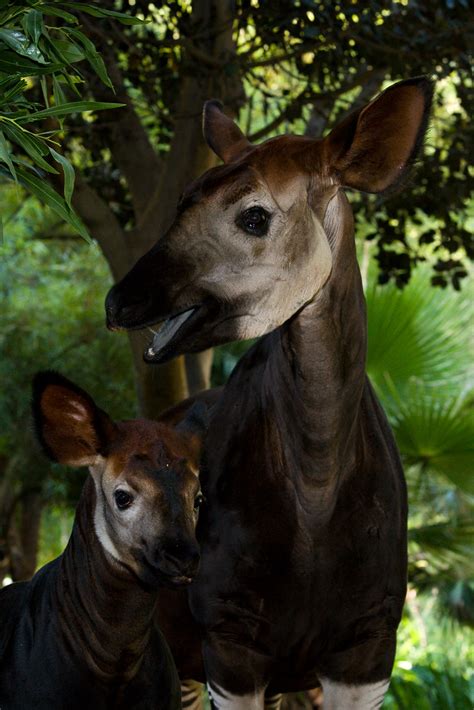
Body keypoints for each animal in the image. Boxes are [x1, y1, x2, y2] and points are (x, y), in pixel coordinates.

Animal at [106, 79, 434, 710]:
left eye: (254, 218)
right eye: (183, 201)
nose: (120, 301)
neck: (317, 484)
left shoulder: (368, 649)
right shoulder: (230, 643)